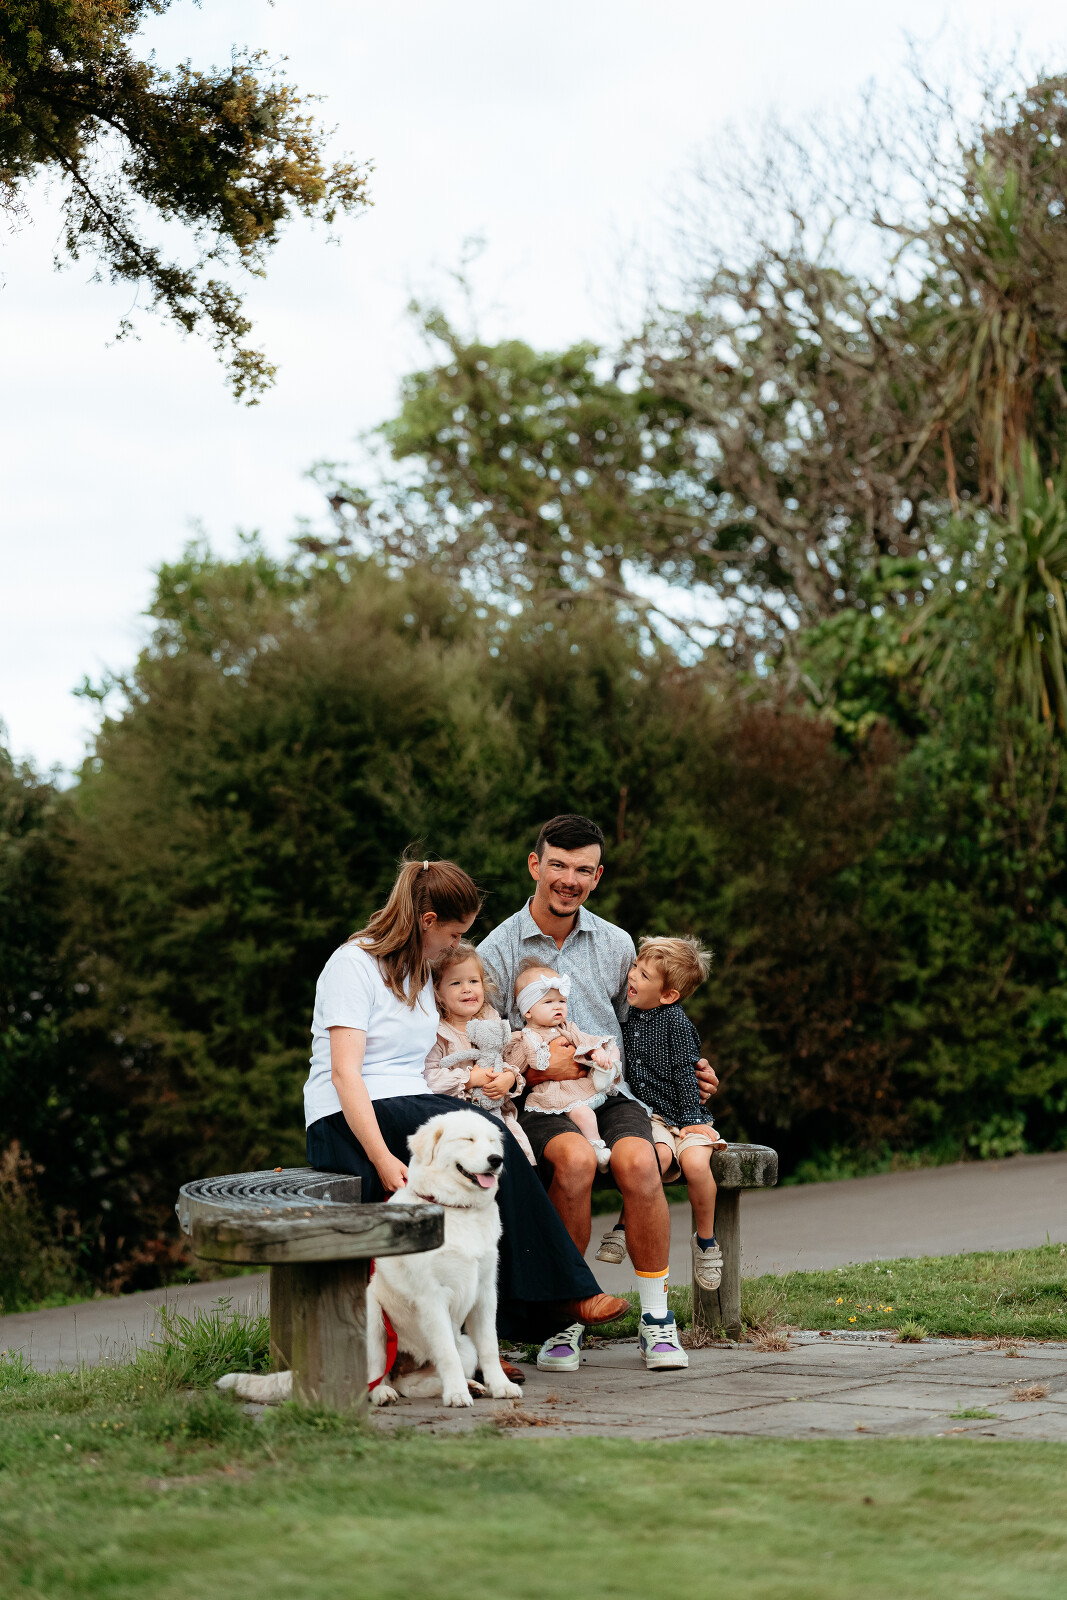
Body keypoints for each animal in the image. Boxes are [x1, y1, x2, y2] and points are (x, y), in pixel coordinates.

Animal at [368, 1109, 523, 1409]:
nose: (496, 1160)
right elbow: (447, 1353)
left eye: (491, 1142)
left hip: (466, 1347)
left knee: (412, 1384)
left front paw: (500, 1386)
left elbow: (489, 1346)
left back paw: (473, 1385)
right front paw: (457, 1395)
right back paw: (382, 1393)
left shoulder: (485, 1293)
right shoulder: (432, 1296)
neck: (458, 1209)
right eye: (467, 1139)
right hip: (373, 1317)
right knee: (374, 1374)